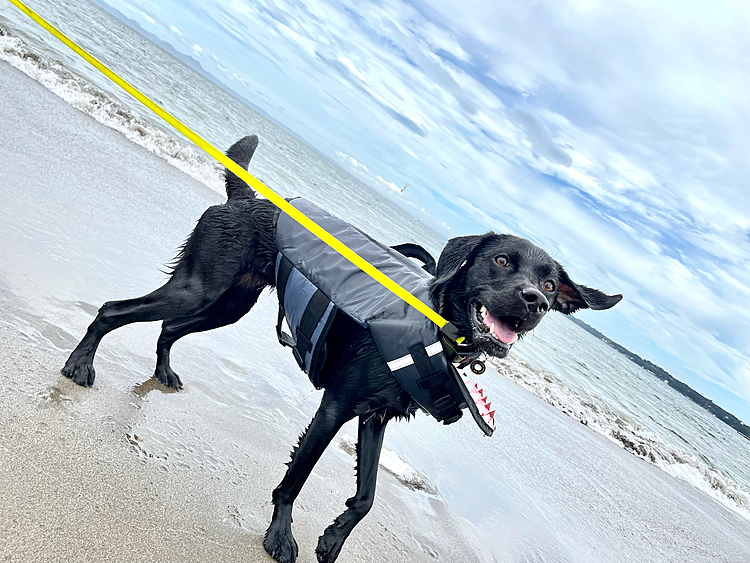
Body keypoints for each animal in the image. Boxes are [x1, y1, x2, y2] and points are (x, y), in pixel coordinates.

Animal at [63, 135, 624, 563]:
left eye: (550, 284)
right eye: (503, 261)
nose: (535, 302)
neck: (435, 323)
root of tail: (245, 199)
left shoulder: (374, 417)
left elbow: (367, 497)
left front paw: (332, 539)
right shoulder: (335, 407)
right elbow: (296, 478)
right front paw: (280, 536)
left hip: (229, 303)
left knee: (168, 329)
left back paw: (162, 372)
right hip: (200, 288)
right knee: (115, 309)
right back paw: (80, 364)